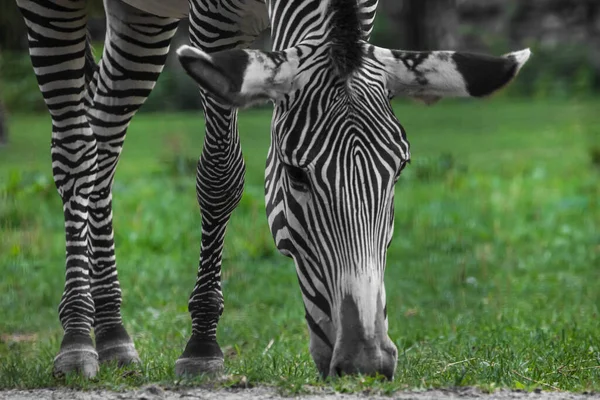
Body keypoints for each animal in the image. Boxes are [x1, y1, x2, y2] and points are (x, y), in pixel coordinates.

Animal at [16, 0, 528, 380]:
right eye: (296, 174)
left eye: (399, 171)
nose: (367, 364)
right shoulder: (213, 24)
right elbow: (220, 175)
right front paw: (203, 346)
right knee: (77, 149)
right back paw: (78, 336)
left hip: (140, 15)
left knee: (104, 137)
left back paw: (112, 333)